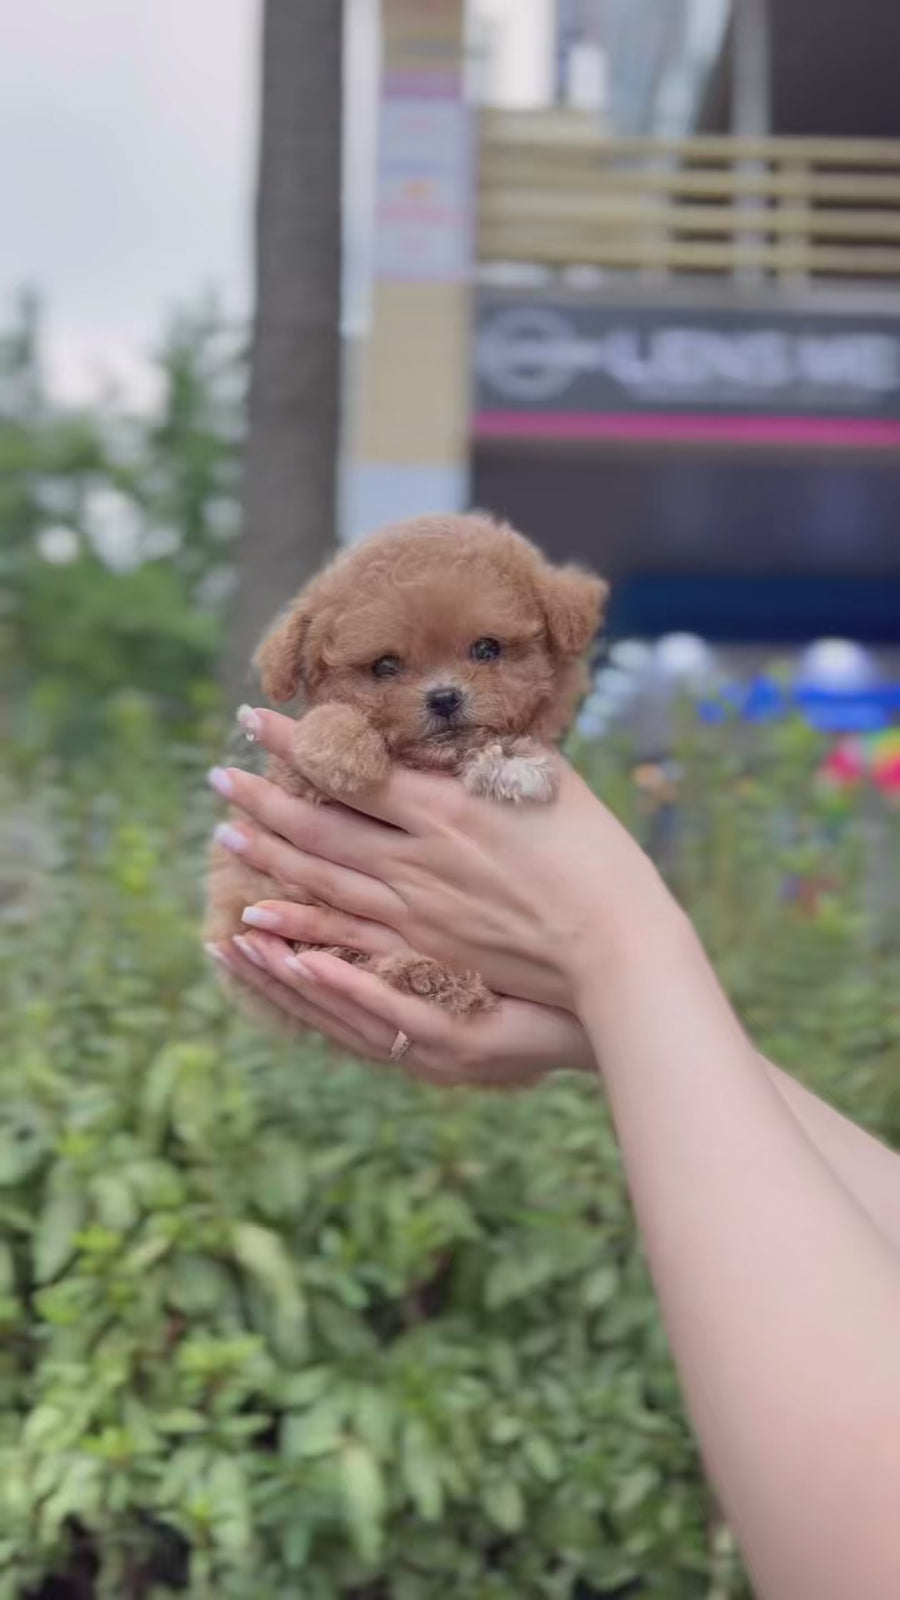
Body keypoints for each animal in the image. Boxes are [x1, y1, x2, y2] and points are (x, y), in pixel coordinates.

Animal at [204, 512, 602, 1024]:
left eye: (487, 649)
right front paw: (342, 749)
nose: (444, 697)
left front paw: (513, 762)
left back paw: (432, 976)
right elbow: (328, 725)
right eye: (385, 666)